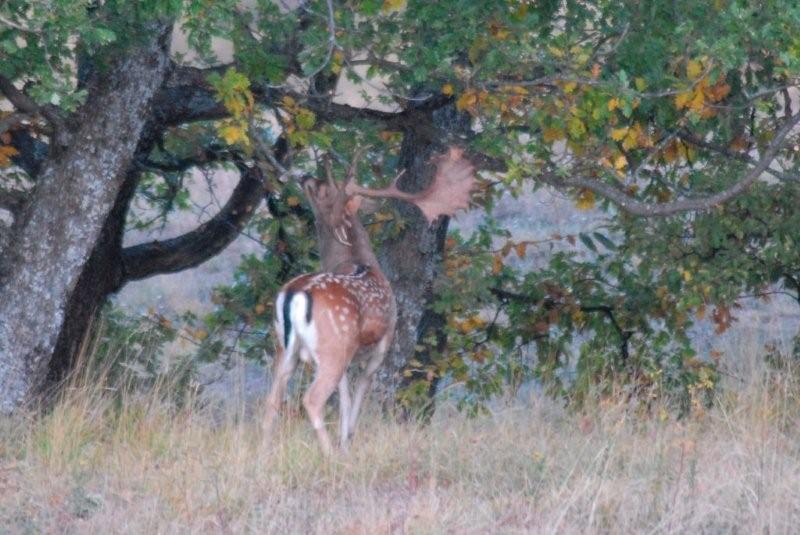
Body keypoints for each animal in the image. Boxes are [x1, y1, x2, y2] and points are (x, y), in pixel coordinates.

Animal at [264, 148, 476, 456]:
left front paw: (344, 440)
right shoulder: (382, 344)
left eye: (321, 188)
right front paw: (346, 441)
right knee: (311, 399)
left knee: (272, 400)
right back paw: (329, 455)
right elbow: (358, 395)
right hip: (332, 346)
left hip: (286, 348)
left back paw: (263, 451)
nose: (305, 176)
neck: (360, 261)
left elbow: (344, 397)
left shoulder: (349, 353)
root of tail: (294, 294)